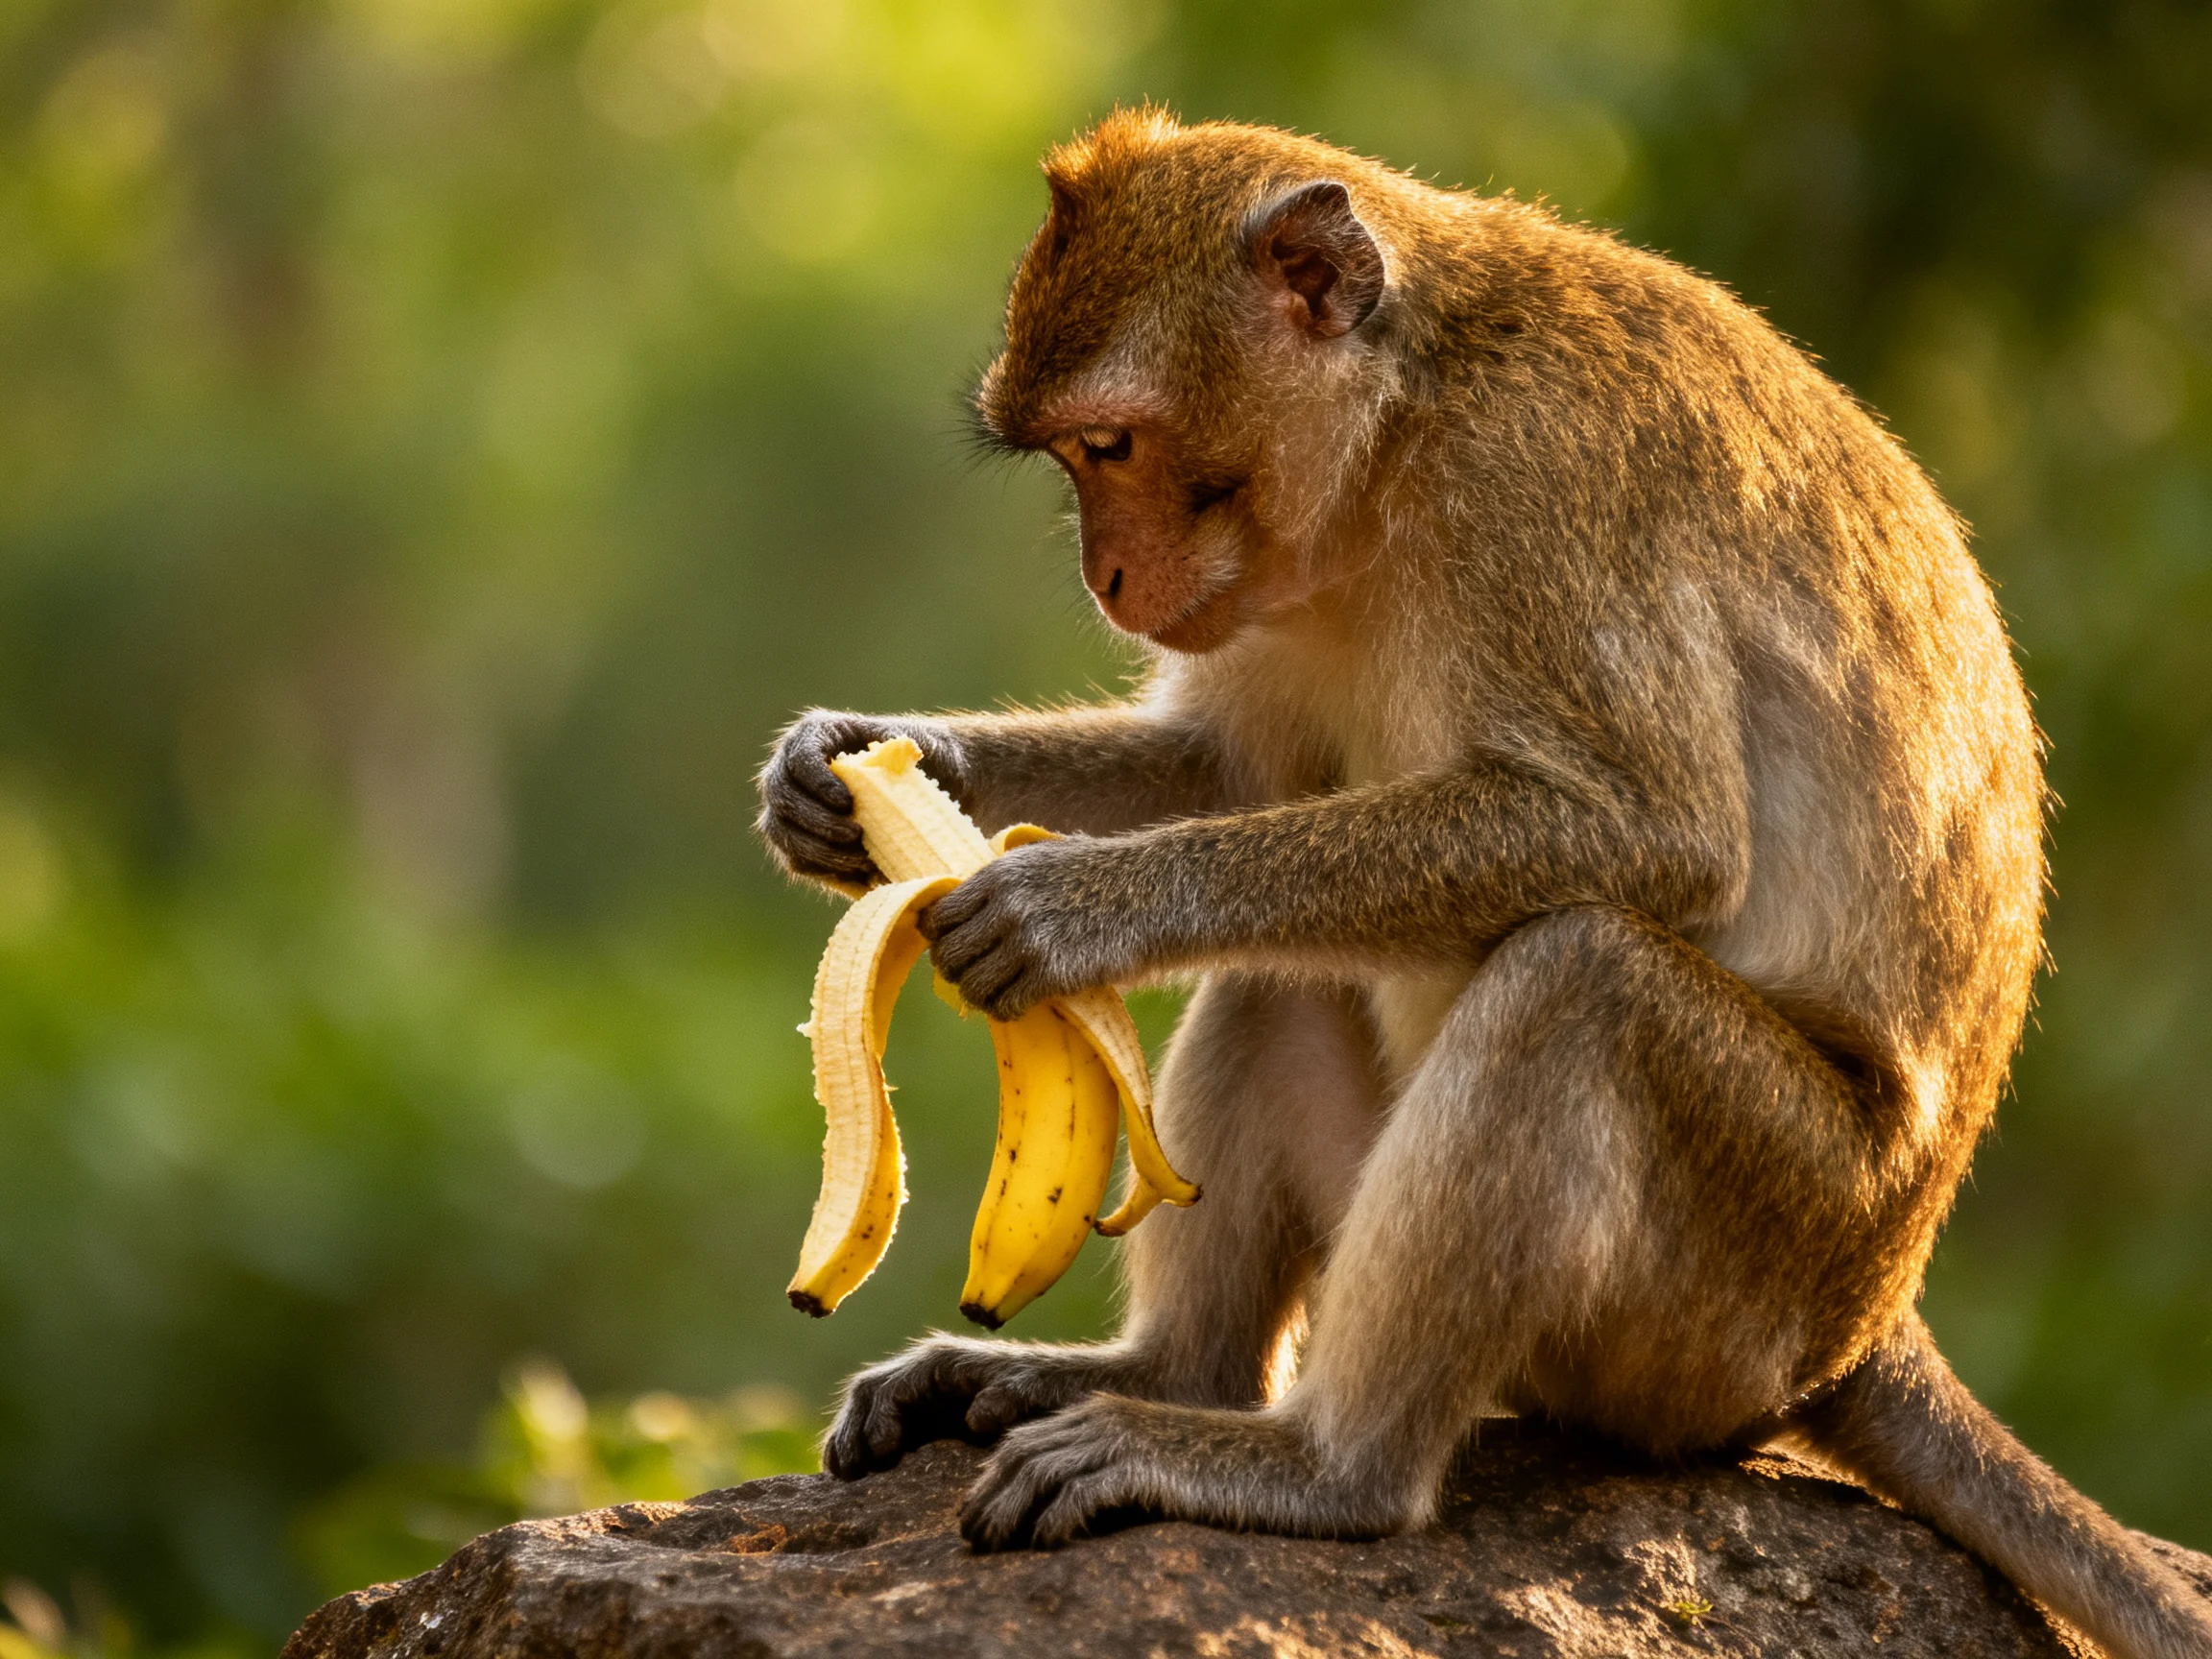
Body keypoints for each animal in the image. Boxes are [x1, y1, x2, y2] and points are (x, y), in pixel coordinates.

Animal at [756, 111, 2212, 1659]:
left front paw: (1085, 906)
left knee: (1584, 981)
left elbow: (1653, 833)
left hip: (1738, 1284)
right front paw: (851, 777)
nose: (1107, 576)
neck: (1407, 425)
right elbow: (1235, 770)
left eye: (1111, 443)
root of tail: (1869, 1329)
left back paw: (1318, 1468)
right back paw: (1168, 1376)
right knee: (1288, 968)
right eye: (1071, 458)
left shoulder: (1545, 488)